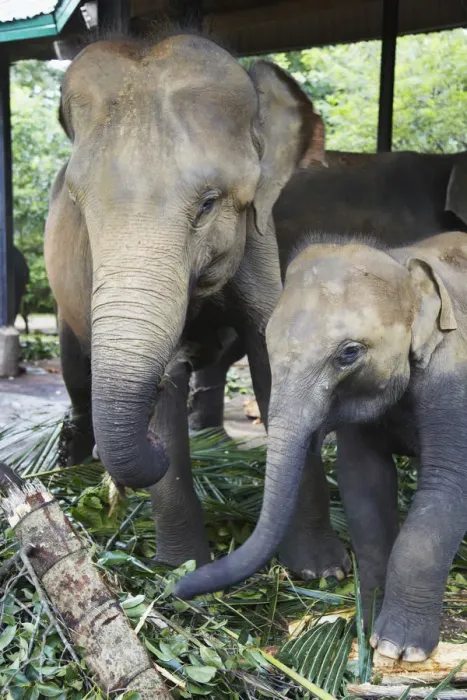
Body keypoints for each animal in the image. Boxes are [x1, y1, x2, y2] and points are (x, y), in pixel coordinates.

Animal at [44, 30, 327, 571]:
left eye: (208, 204)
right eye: (78, 206)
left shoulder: (259, 237)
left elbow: (268, 351)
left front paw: (324, 571)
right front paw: (182, 569)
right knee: (74, 371)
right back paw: (73, 462)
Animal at [176, 230, 467, 663]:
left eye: (349, 353)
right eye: (267, 343)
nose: (177, 587)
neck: (402, 262)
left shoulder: (456, 380)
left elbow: (446, 489)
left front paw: (400, 650)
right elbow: (364, 485)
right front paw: (367, 628)